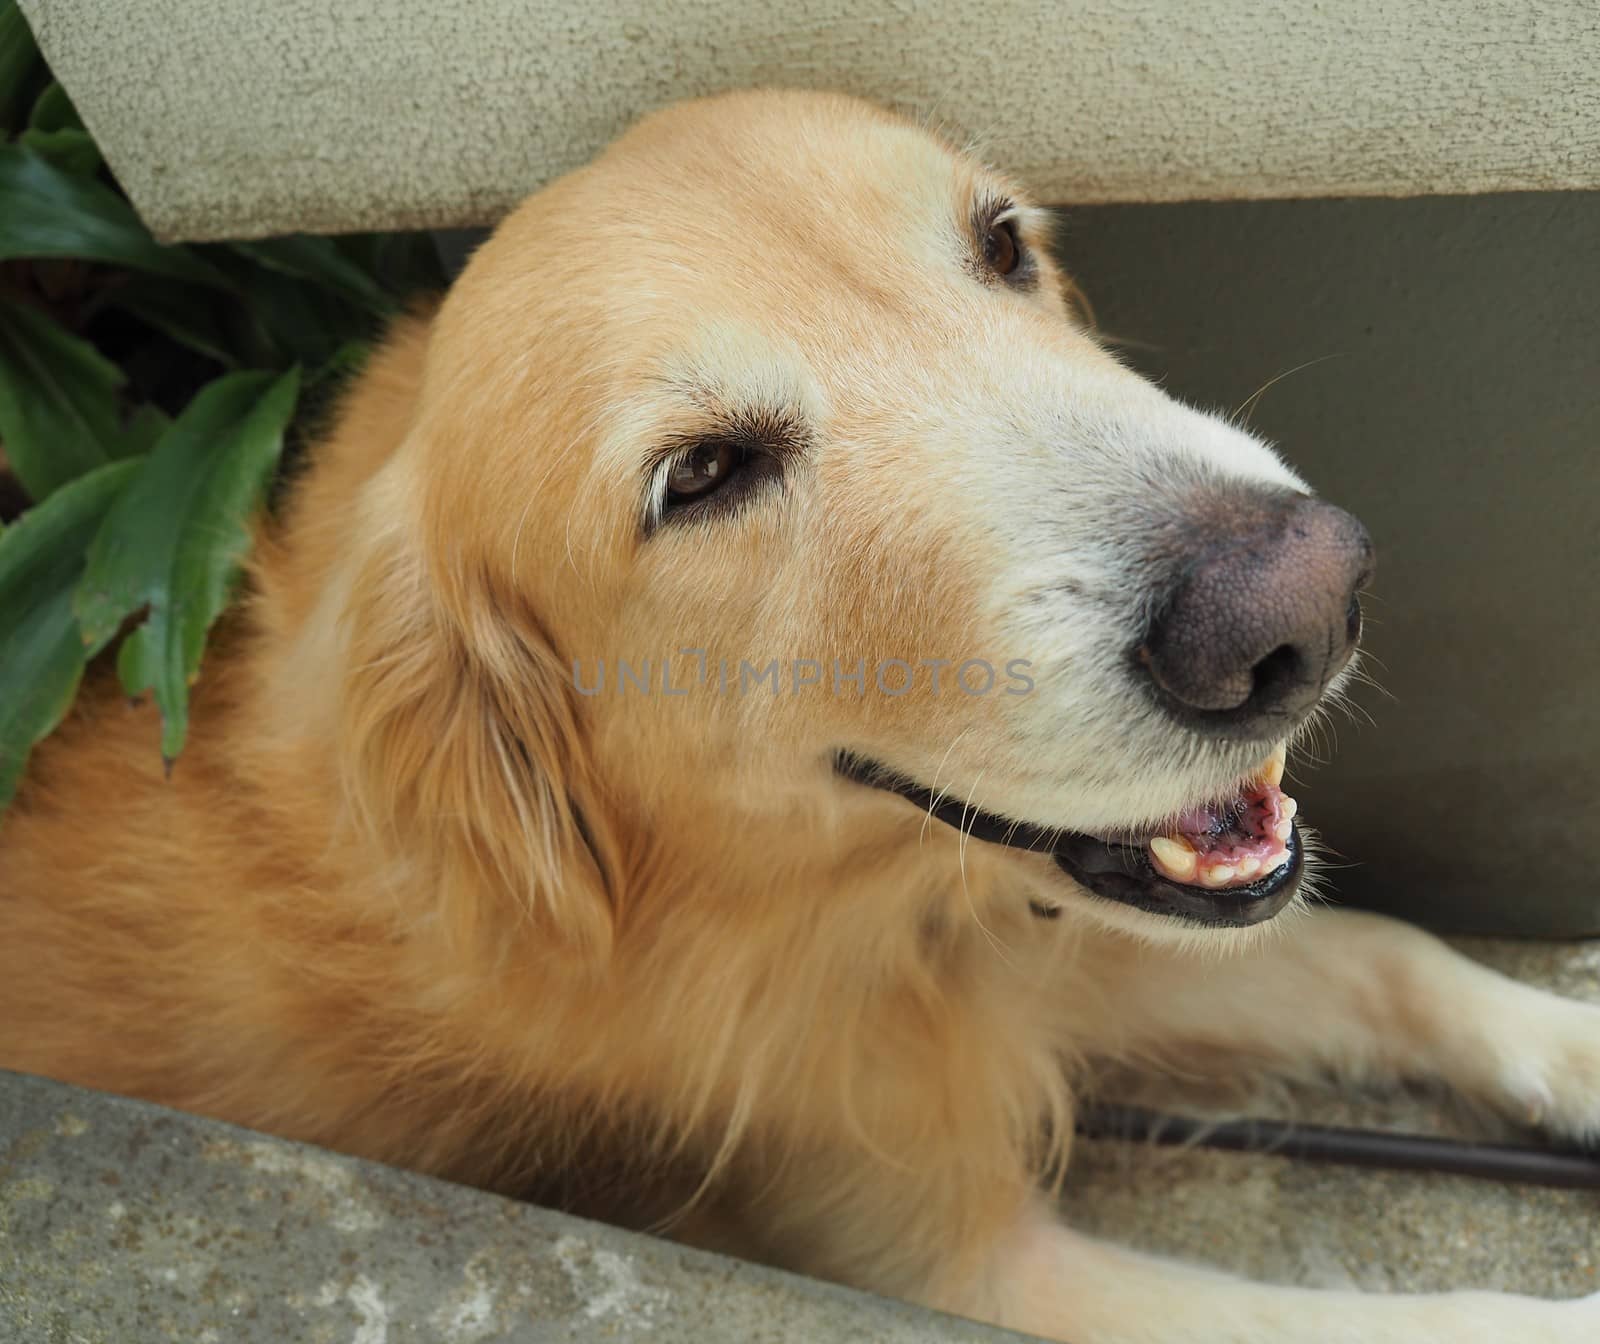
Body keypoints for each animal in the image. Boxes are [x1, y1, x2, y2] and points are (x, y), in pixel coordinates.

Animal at [3, 89, 1600, 1337]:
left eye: (1001, 244)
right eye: (702, 475)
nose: (1303, 607)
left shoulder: (1028, 942)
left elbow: (1389, 952)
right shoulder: (956, 1264)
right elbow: (1441, 1317)